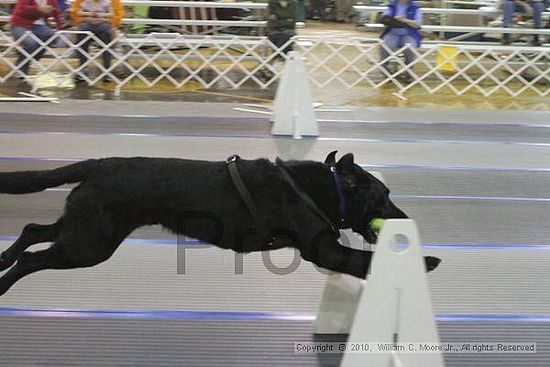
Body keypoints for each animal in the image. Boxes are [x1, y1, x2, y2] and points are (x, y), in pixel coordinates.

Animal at [0, 151, 442, 298]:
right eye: (383, 196)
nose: (406, 220)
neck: (319, 188)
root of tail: (99, 164)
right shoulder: (325, 250)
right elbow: (360, 260)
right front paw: (426, 262)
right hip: (90, 244)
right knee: (32, 258)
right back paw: (5, 282)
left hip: (83, 230)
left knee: (32, 231)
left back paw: (3, 261)